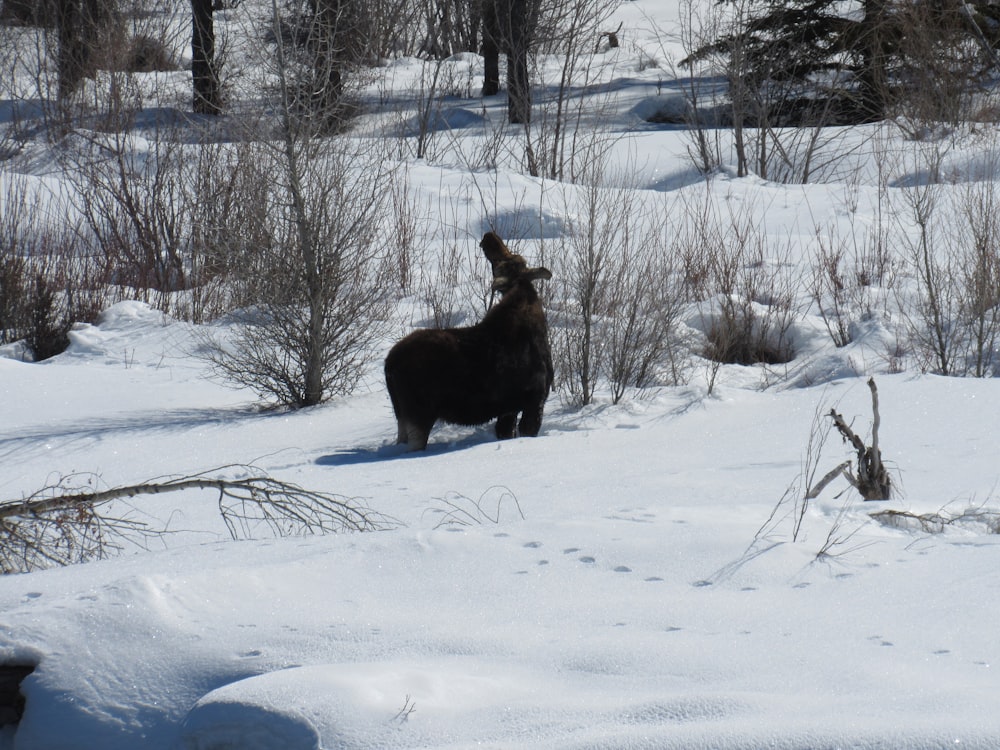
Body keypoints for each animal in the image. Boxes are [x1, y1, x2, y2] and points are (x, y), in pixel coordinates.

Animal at [382, 232, 556, 450]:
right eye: (500, 262)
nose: (488, 237)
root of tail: (388, 365)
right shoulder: (535, 399)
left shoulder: (509, 409)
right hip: (419, 414)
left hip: (401, 417)